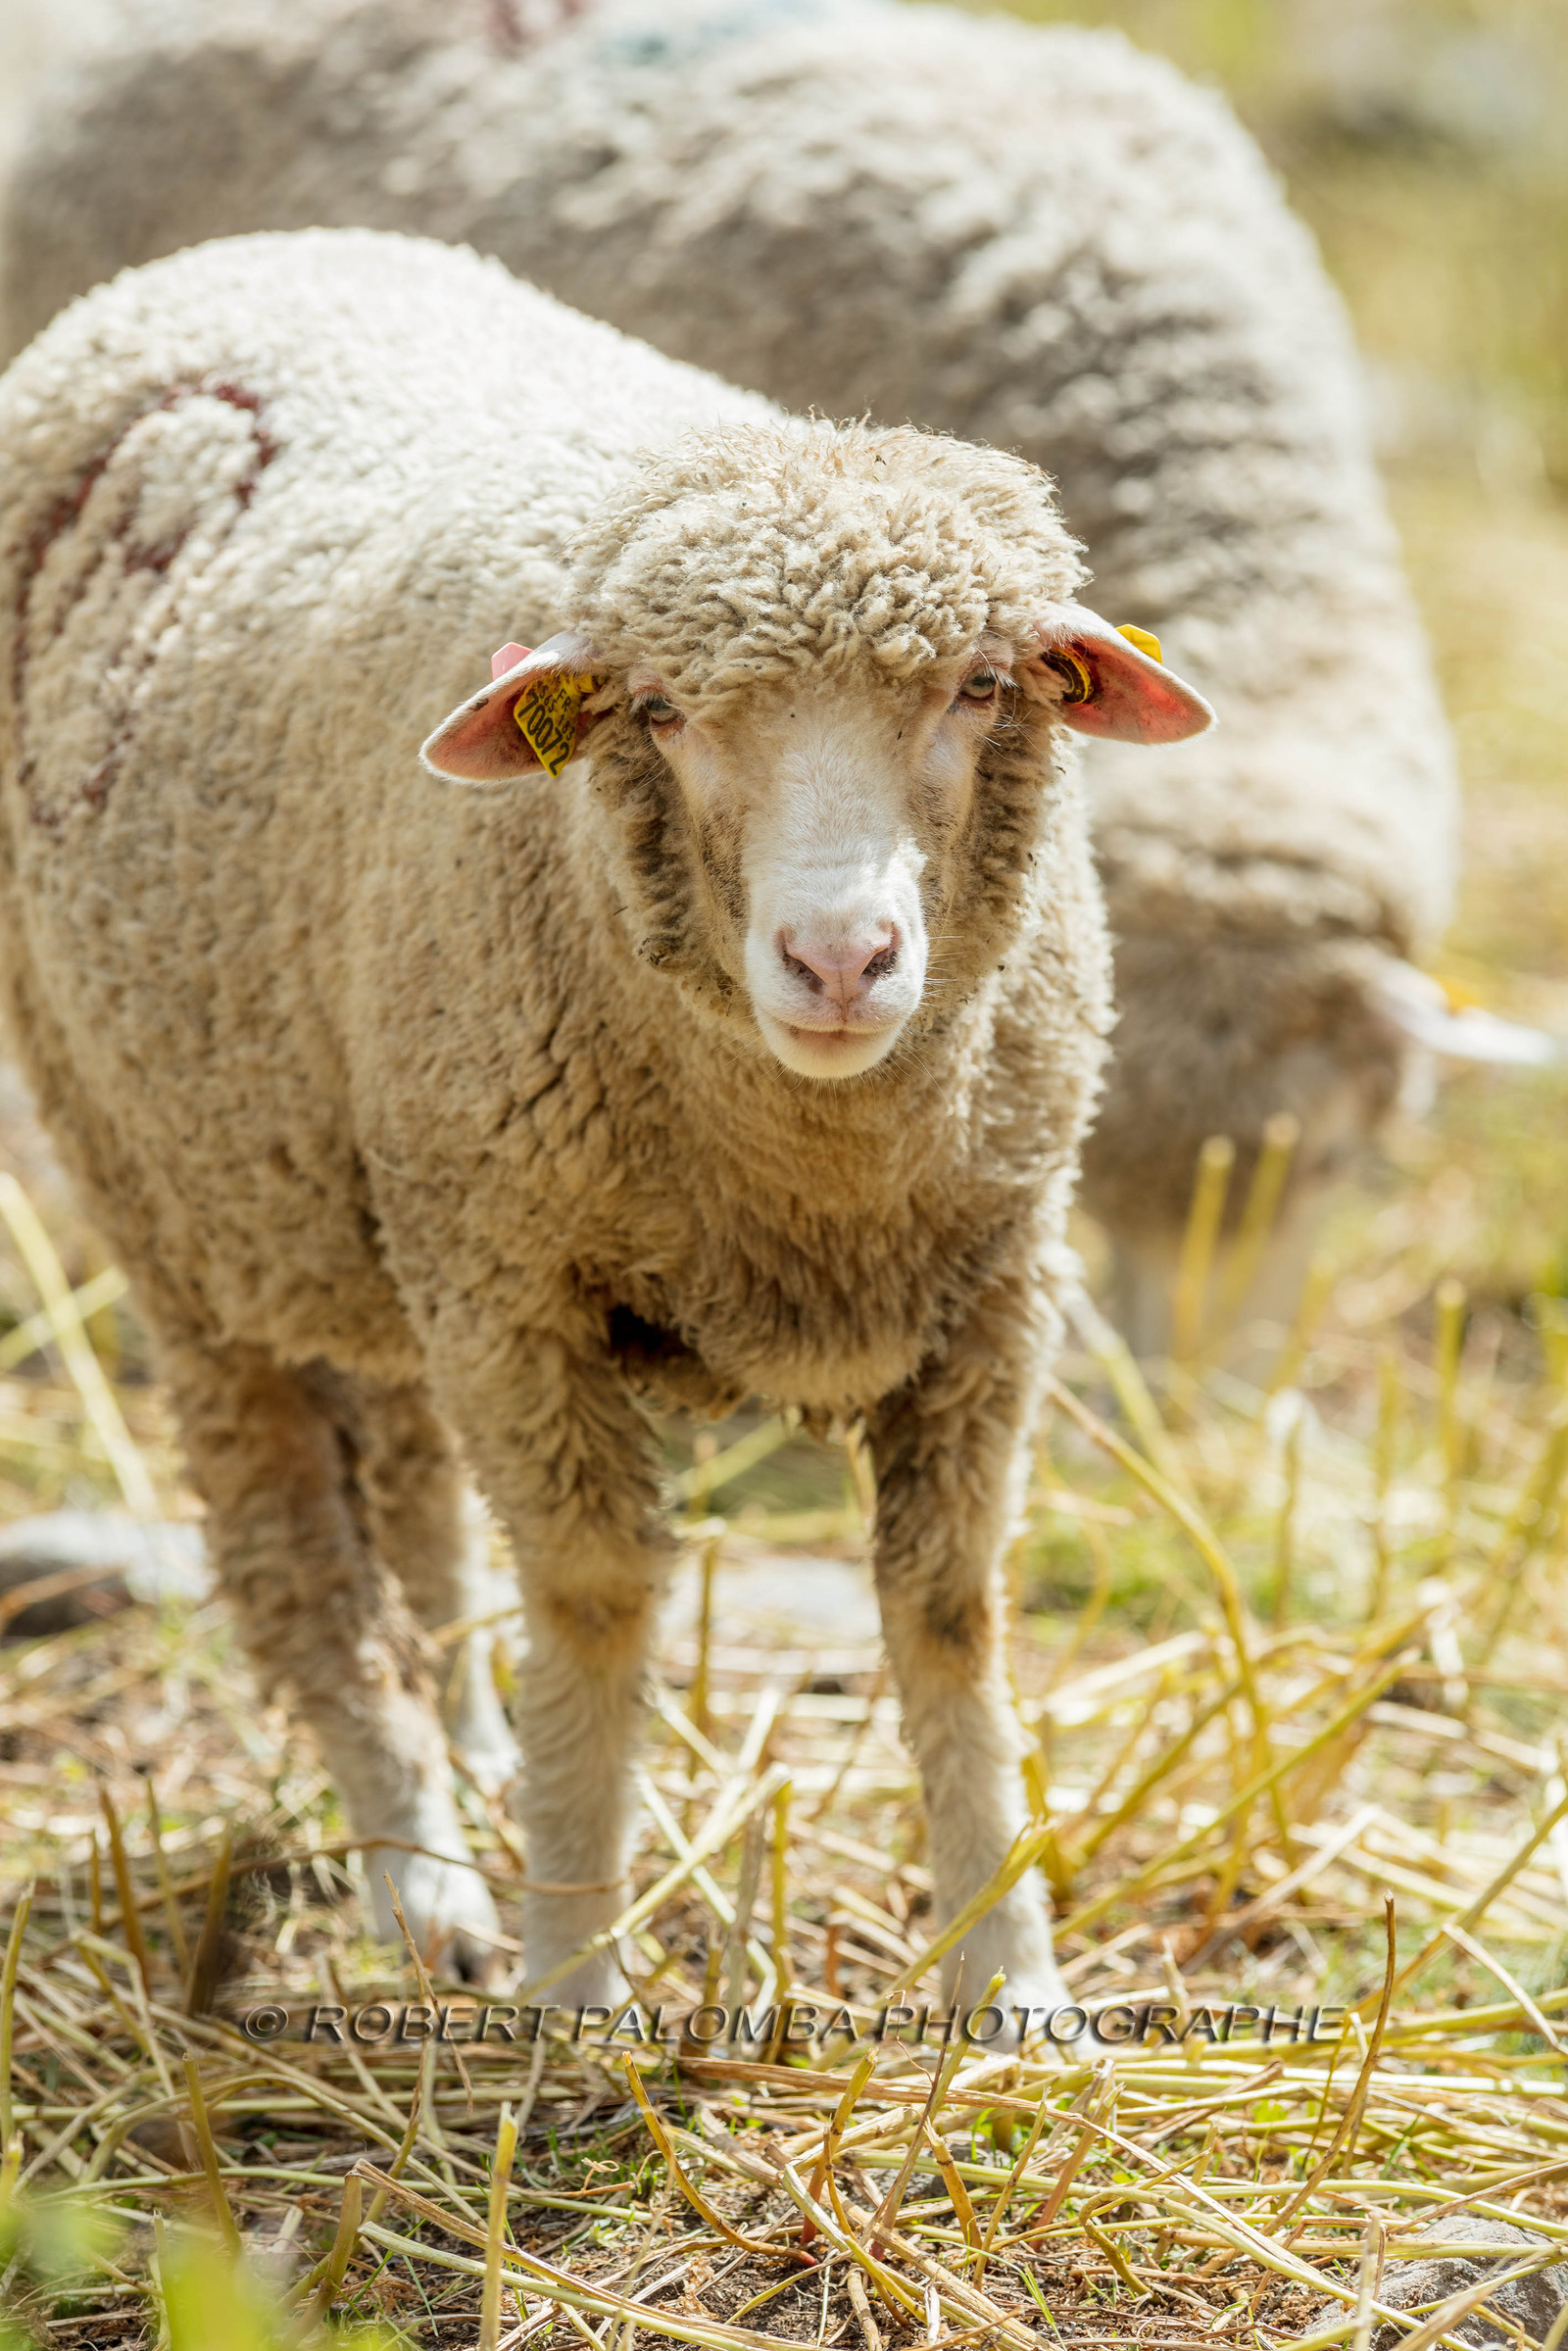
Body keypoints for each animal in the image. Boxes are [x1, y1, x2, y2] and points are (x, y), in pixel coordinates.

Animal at [0, 226, 1214, 2002]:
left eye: (985, 686)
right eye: (661, 711)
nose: (838, 955)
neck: (810, 1171)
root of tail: (231, 255)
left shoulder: (995, 1278)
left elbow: (951, 1609)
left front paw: (1008, 1976)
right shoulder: (522, 1285)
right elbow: (589, 1599)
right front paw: (573, 1971)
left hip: (383, 1191)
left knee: (420, 1502)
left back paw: (470, 1759)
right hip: (189, 1203)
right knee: (307, 1565)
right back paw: (422, 1874)